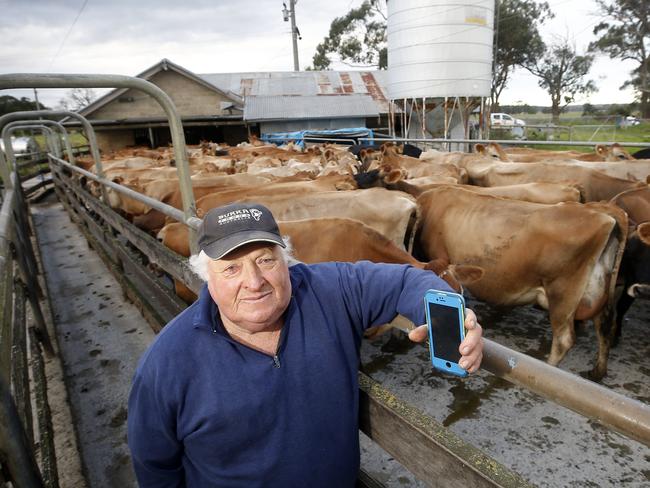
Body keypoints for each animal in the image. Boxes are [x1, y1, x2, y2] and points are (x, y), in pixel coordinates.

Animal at [412, 187, 624, 382]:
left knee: (564, 339)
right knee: (605, 326)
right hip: (597, 291)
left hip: (562, 292)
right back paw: (597, 372)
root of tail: (604, 213)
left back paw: (548, 371)